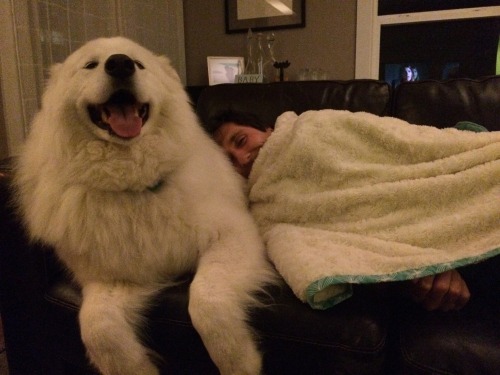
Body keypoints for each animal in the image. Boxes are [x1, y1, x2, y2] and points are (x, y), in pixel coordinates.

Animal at [15, 36, 276, 374]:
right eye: (90, 65)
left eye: (138, 63)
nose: (120, 64)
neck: (134, 183)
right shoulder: (116, 277)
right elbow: (98, 329)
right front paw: (138, 367)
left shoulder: (232, 236)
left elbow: (206, 301)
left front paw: (239, 361)